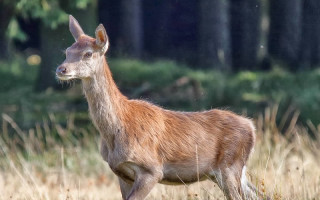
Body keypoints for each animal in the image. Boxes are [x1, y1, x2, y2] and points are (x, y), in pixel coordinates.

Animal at [55, 14, 268, 199]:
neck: (117, 129)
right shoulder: (121, 173)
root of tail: (252, 127)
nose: (61, 69)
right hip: (232, 172)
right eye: (67, 51)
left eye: (88, 53)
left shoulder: (152, 169)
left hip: (230, 166)